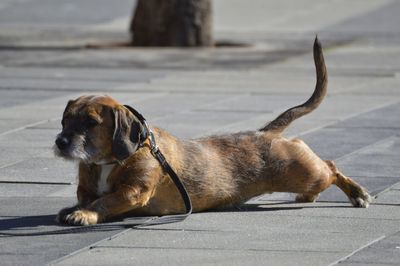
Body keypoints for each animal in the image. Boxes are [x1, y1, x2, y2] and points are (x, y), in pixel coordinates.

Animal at [54, 37, 372, 225]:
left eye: (91, 122)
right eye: (64, 120)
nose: (61, 142)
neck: (109, 161)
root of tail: (267, 133)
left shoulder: (133, 192)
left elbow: (105, 200)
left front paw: (84, 214)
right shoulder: (87, 188)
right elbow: (90, 196)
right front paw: (76, 208)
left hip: (306, 172)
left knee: (331, 168)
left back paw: (357, 193)